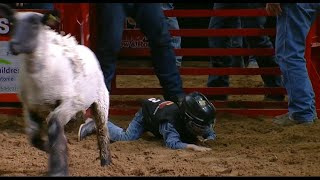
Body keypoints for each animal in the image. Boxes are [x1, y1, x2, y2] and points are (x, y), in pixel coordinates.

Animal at [0, 3, 112, 176]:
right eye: (12, 23)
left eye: (35, 25)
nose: (14, 46)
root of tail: (84, 47)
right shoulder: (30, 107)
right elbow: (33, 136)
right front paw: (53, 151)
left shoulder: (69, 103)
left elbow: (53, 127)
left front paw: (58, 169)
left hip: (100, 102)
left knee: (102, 131)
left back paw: (105, 163)